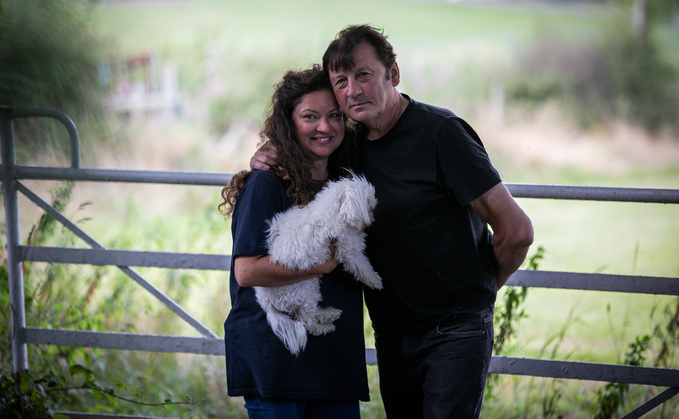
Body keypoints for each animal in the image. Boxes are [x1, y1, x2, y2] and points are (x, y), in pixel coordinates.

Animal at [255, 176, 382, 356]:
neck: (332, 210)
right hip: (306, 288)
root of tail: (265, 302)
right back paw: (325, 326)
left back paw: (329, 314)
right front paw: (376, 281)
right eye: (368, 203)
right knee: (306, 321)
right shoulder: (349, 250)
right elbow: (364, 267)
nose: (372, 217)